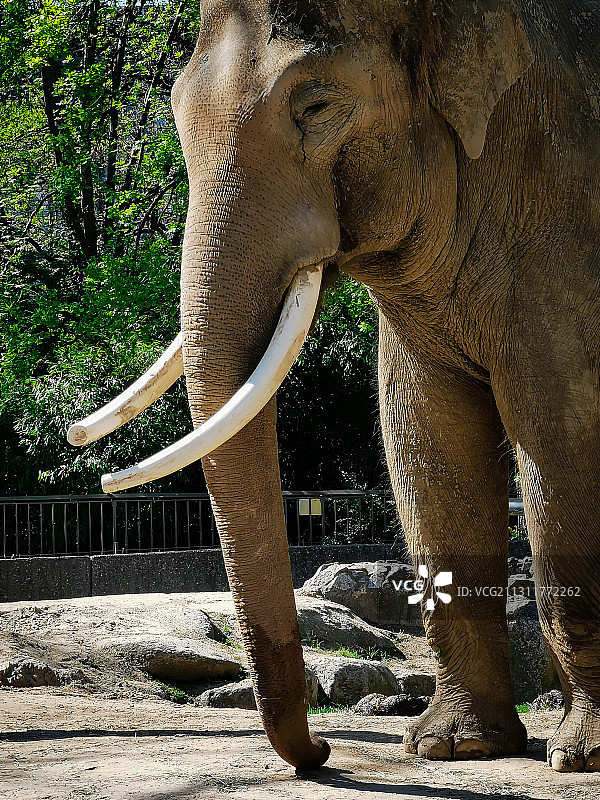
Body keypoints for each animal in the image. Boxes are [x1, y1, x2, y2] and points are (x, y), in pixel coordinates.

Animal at [68, 0, 600, 775]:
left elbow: (561, 433)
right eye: (175, 110)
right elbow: (424, 439)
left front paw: (579, 756)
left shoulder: (564, 218)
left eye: (315, 105)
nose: (321, 750)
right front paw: (448, 747)